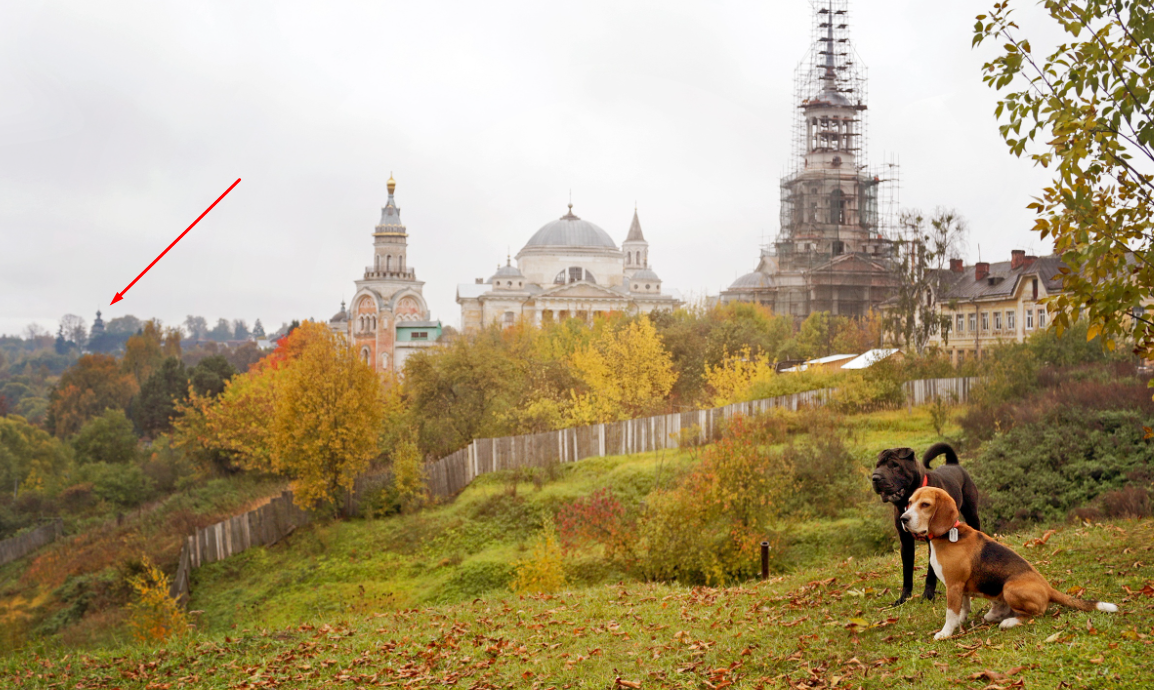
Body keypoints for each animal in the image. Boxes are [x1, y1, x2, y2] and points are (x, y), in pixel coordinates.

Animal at [867, 443, 978, 604]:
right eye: (878, 465)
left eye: (895, 465)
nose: (875, 477)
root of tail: (953, 464)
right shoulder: (906, 542)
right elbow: (907, 572)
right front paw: (904, 598)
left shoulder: (933, 541)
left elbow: (930, 574)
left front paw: (928, 596)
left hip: (972, 514)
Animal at [900, 486, 1117, 641]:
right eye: (909, 502)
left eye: (925, 504)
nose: (903, 518)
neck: (947, 534)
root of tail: (1048, 589)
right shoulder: (961, 587)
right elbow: (963, 607)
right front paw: (961, 621)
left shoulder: (953, 585)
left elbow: (950, 613)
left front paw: (945, 632)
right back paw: (996, 615)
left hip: (1010, 588)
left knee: (1037, 613)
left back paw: (1009, 622)